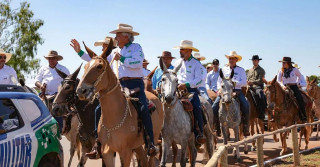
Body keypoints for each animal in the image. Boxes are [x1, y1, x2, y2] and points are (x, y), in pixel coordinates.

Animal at [76, 39, 164, 167]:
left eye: (99, 66)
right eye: (86, 66)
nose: (81, 91)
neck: (114, 118)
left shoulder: (125, 152)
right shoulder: (107, 152)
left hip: (154, 139)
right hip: (137, 145)